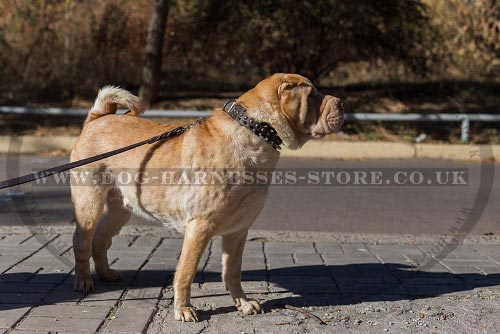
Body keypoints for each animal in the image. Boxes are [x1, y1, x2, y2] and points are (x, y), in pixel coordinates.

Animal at [70, 73, 344, 320]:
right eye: (312, 95)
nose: (341, 103)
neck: (255, 131)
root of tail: (98, 118)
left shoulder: (238, 230)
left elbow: (232, 271)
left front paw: (242, 303)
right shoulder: (200, 227)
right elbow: (185, 272)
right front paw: (183, 309)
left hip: (120, 210)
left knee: (100, 240)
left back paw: (107, 274)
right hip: (89, 203)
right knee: (82, 241)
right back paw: (84, 282)